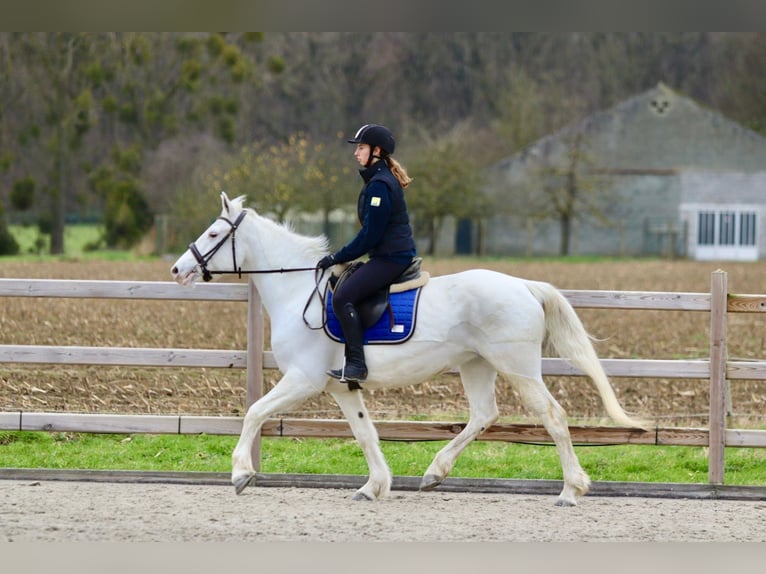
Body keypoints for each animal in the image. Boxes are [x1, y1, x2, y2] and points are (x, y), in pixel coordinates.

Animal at [170, 194, 648, 508]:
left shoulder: (303, 380)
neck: (296, 289)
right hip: (477, 366)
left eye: (214, 232)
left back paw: (570, 490)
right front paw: (374, 486)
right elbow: (365, 433)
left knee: (552, 417)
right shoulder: (341, 387)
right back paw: (435, 472)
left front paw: (240, 474)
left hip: (518, 367)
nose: (178, 269)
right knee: (484, 415)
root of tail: (524, 286)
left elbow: (254, 412)